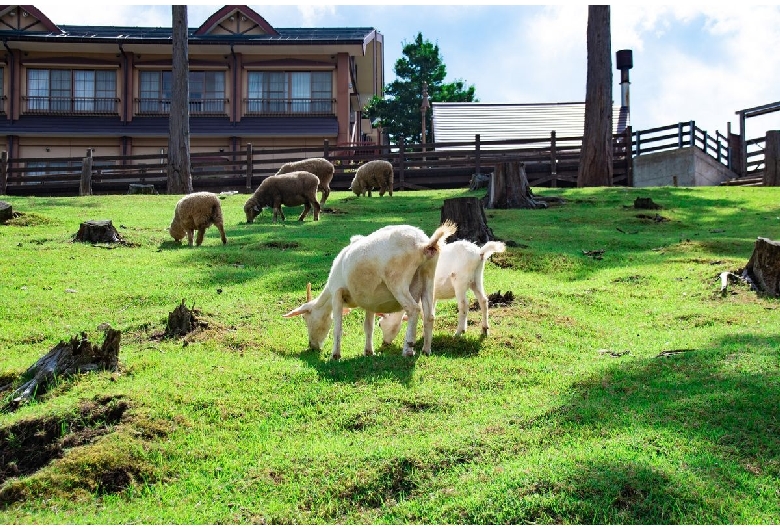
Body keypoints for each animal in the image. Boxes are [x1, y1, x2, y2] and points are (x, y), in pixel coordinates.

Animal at [284, 219, 458, 358]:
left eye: (306, 318)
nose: (312, 346)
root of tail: (424, 245)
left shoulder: (337, 292)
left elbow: (337, 327)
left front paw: (335, 355)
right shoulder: (370, 300)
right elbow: (368, 327)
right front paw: (368, 351)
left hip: (398, 281)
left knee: (413, 309)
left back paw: (408, 350)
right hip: (429, 276)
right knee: (429, 315)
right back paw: (426, 350)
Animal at [376, 239, 506, 342]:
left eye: (380, 324)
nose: (384, 343)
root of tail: (480, 253)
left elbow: (424, 313)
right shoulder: (432, 296)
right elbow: (431, 311)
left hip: (460, 280)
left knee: (464, 304)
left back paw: (459, 332)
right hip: (477, 278)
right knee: (483, 300)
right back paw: (484, 329)